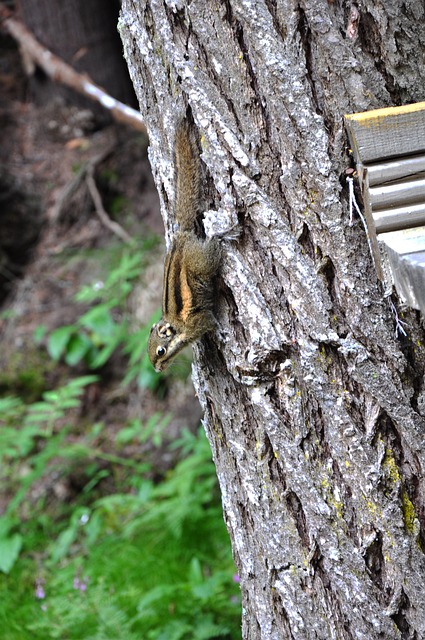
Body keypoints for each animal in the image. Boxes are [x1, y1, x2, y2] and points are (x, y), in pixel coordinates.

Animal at [147, 119, 220, 372]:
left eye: (160, 351)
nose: (158, 369)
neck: (176, 326)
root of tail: (181, 238)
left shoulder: (198, 322)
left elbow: (210, 322)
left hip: (200, 262)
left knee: (212, 251)